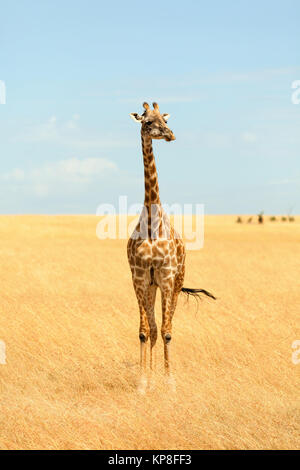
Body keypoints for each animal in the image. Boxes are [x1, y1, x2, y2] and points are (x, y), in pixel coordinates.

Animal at [127, 101, 214, 388]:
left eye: (164, 119)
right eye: (147, 122)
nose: (170, 134)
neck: (153, 225)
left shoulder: (166, 276)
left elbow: (167, 331)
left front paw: (169, 382)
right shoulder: (140, 277)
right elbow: (144, 331)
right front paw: (144, 382)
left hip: (176, 282)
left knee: (167, 327)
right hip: (151, 286)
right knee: (153, 329)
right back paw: (151, 374)